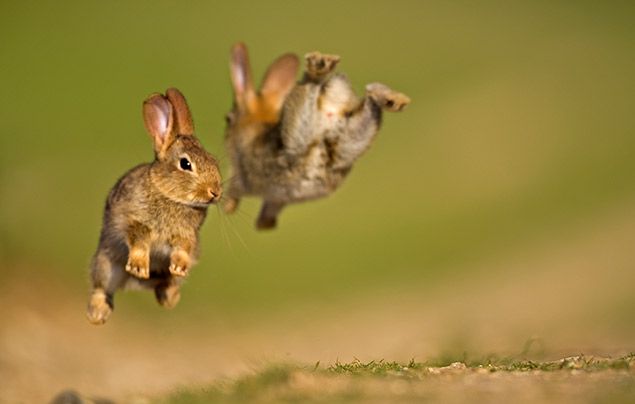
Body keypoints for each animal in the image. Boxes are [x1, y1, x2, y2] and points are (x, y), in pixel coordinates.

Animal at [85, 88, 221, 326]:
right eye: (185, 164)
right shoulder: (135, 222)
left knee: (167, 284)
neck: (169, 195)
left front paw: (179, 266)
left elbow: (182, 249)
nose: (215, 192)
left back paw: (169, 296)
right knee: (102, 288)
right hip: (105, 264)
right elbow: (139, 241)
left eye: (213, 160)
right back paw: (98, 314)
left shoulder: (187, 235)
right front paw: (139, 267)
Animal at [225, 43, 412, 230]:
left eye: (227, 119)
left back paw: (318, 67)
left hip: (294, 141)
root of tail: (331, 109)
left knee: (309, 85)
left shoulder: (242, 174)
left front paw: (230, 208)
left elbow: (234, 188)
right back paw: (394, 99)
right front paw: (265, 222)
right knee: (370, 102)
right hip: (351, 140)